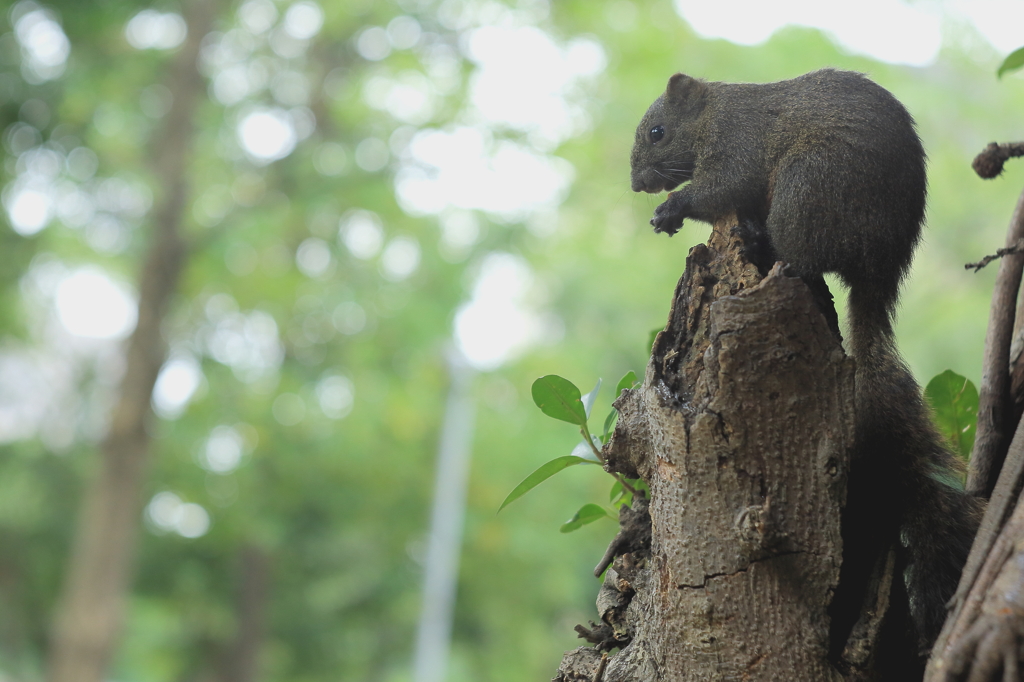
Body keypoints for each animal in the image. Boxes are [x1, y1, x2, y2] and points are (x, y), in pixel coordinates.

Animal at [630, 69, 983, 667]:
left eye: (657, 132)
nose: (636, 185)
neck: (715, 114)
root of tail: (880, 270)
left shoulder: (738, 150)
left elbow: (722, 190)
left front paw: (672, 209)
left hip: (807, 191)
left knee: (805, 255)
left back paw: (762, 240)